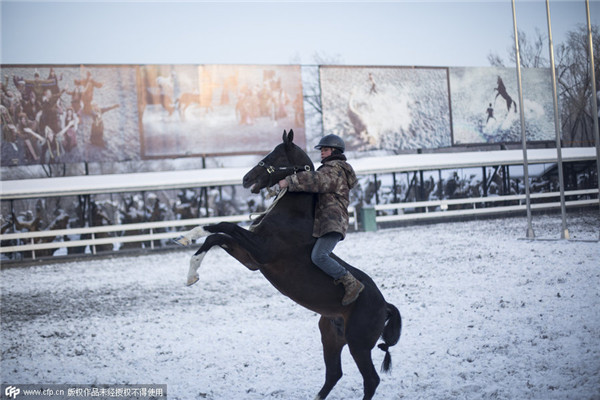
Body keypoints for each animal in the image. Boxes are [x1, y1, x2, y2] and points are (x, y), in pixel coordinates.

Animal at [176, 130, 400, 398]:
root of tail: (386, 306)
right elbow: (215, 236)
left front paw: (189, 242)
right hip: (331, 337)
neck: (293, 216)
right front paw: (190, 265)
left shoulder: (261, 250)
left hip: (358, 345)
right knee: (334, 374)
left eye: (274, 155)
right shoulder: (251, 259)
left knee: (371, 380)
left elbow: (224, 226)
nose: (246, 178)